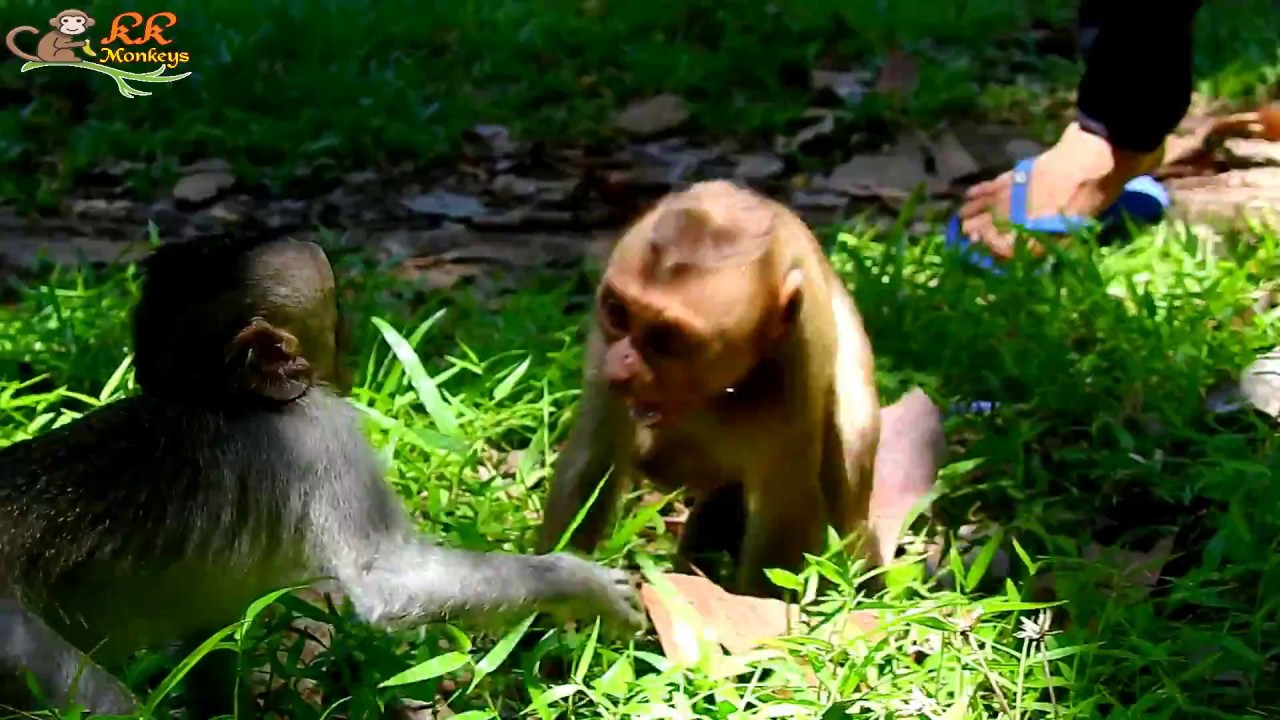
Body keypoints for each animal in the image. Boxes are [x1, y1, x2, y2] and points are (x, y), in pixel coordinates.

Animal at [0, 236, 645, 716]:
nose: (351, 349)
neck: (217, 397)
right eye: (336, 322)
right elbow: (385, 582)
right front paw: (576, 581)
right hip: (12, 631)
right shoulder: (320, 433)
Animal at [536, 180, 883, 597]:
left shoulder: (798, 353)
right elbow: (593, 457)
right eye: (617, 312)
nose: (620, 366)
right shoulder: (603, 344)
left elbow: (786, 504)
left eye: (667, 340)